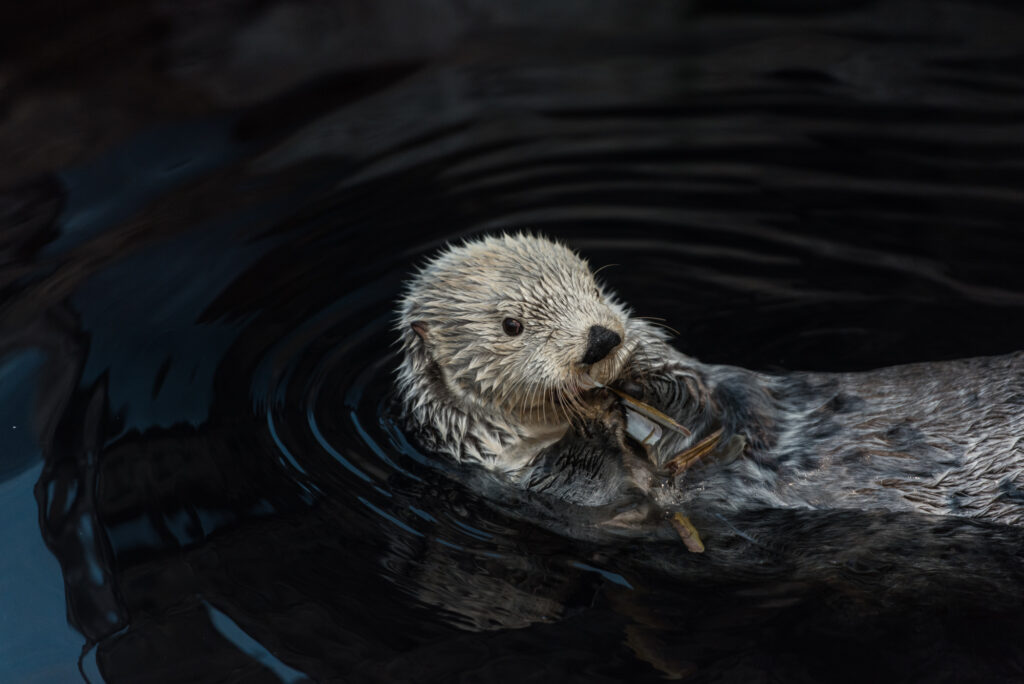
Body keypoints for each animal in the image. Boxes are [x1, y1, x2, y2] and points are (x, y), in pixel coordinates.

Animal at [393, 233, 1024, 532]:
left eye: (592, 286)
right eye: (512, 326)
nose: (601, 340)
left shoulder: (710, 390)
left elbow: (703, 393)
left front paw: (642, 375)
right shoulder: (524, 485)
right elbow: (589, 487)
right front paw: (597, 424)